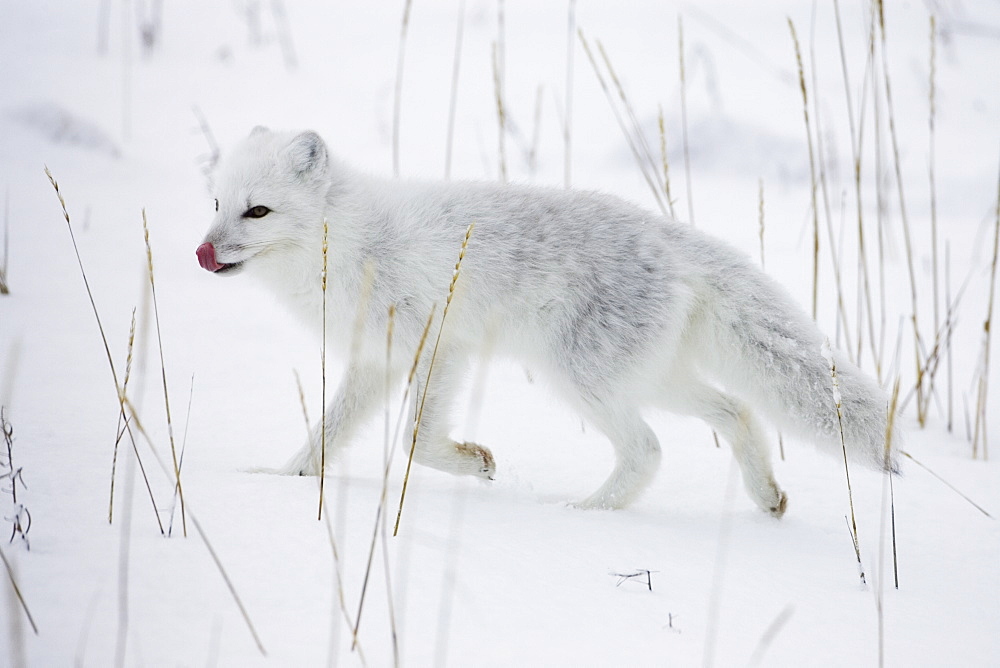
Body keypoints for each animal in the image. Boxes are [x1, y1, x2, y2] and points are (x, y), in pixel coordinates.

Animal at [197, 130, 900, 516]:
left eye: (258, 212)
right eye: (218, 203)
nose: (202, 253)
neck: (351, 242)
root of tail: (670, 239)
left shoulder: (440, 345)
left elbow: (416, 442)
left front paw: (476, 464)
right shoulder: (377, 361)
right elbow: (323, 437)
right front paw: (278, 483)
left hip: (584, 380)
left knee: (648, 450)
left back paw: (583, 514)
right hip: (653, 379)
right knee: (737, 412)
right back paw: (765, 497)